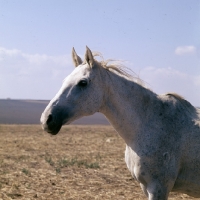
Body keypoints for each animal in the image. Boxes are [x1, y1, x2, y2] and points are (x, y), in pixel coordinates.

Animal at [40, 47, 200, 200]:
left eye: (83, 82)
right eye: (64, 81)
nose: (46, 119)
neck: (150, 123)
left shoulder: (159, 187)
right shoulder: (146, 188)